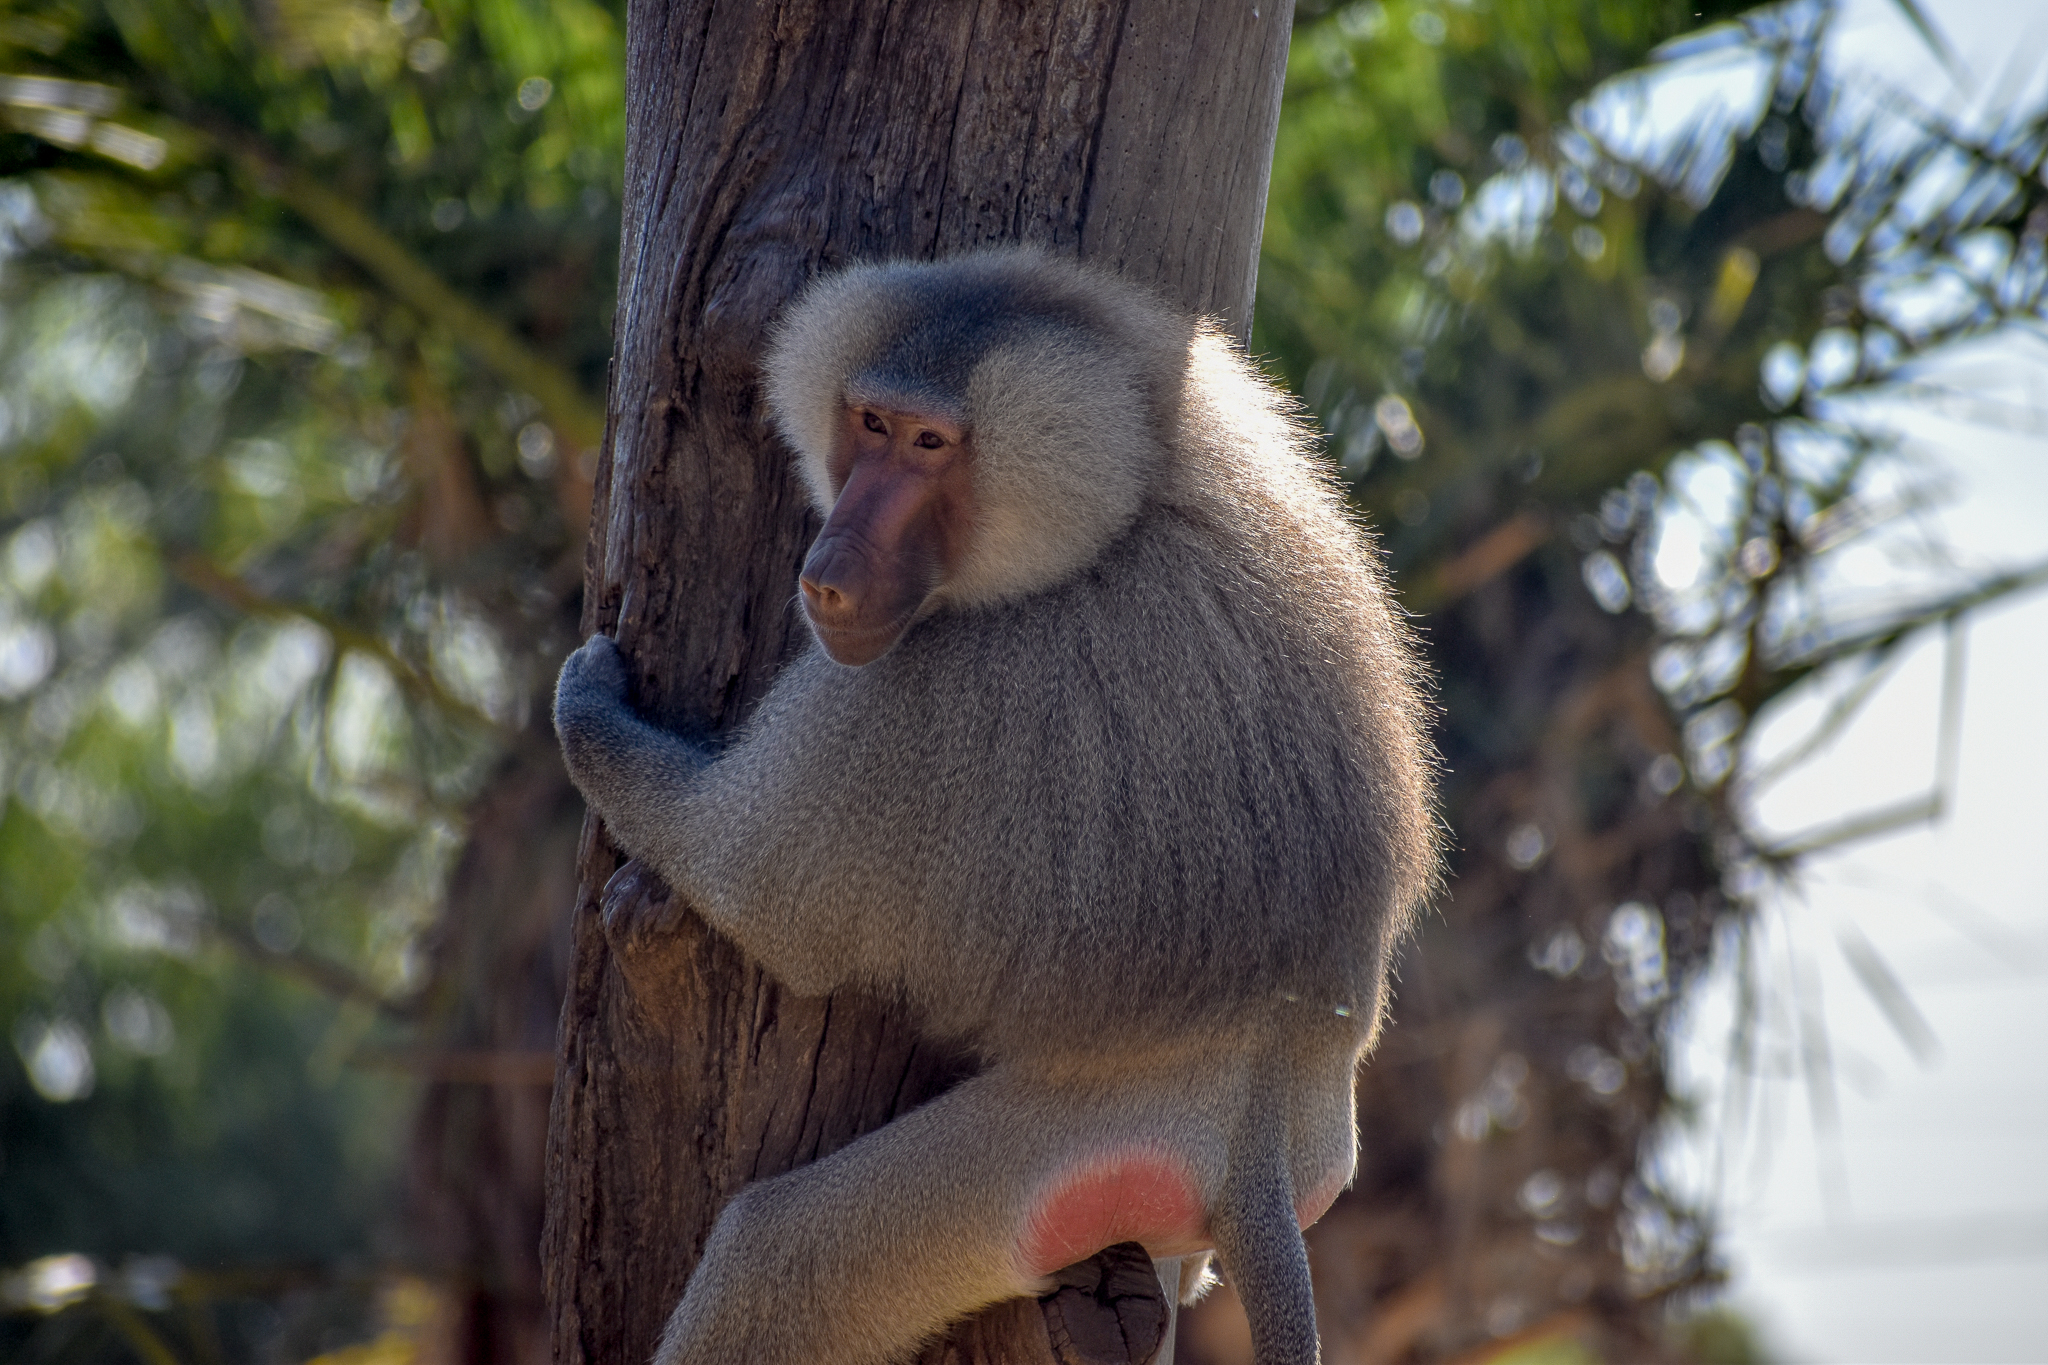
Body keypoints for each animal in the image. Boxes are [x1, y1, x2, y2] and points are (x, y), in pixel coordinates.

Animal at [552, 247, 1438, 1365]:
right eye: (872, 424)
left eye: (931, 446)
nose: (826, 579)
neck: (1128, 503)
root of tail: (1267, 1130)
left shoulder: (915, 695)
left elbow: (751, 889)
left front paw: (585, 703)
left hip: (1093, 1134)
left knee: (778, 1254)